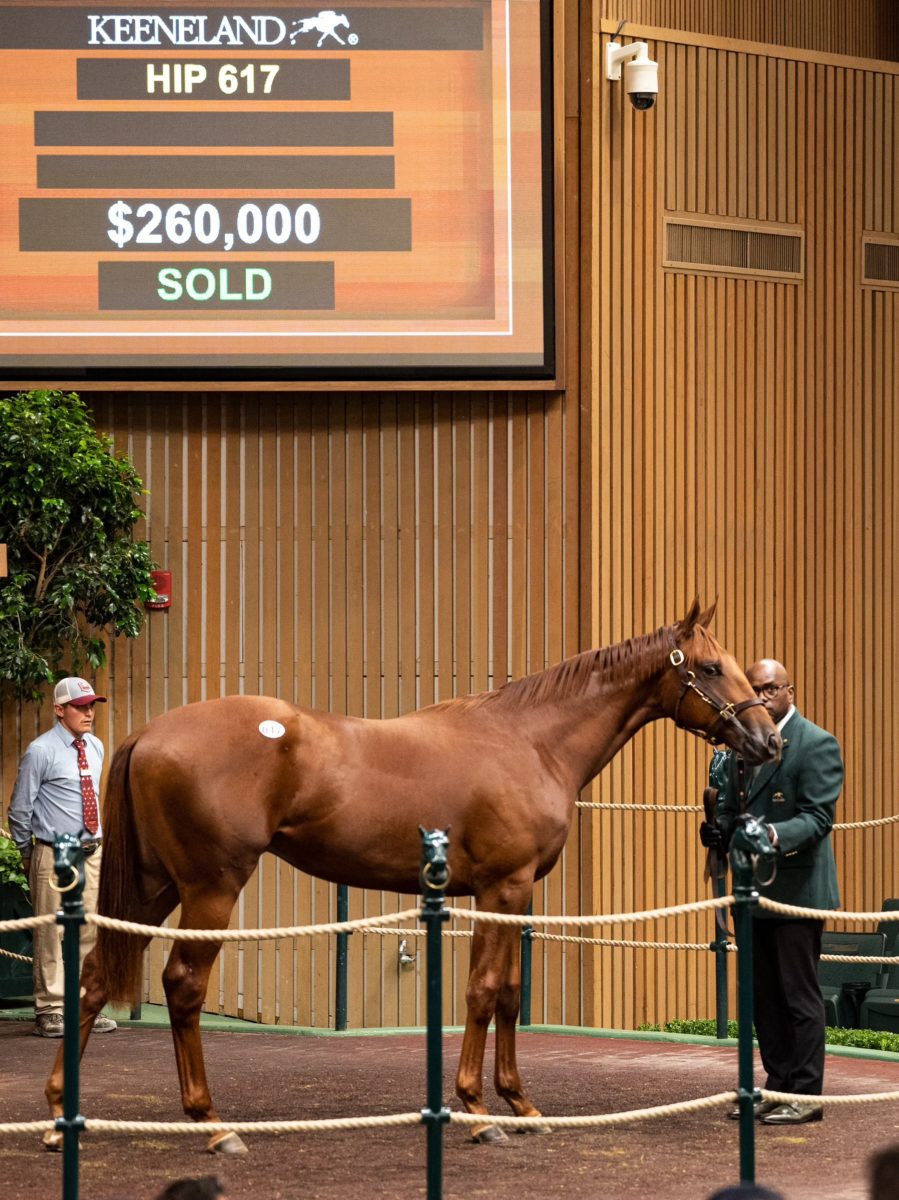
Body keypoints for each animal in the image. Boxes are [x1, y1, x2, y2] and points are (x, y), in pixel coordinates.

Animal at [45, 604, 777, 1147]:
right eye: (711, 667)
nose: (768, 740)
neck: (531, 740)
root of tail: (148, 734)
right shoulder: (502, 887)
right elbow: (482, 992)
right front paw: (477, 1112)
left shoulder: (515, 895)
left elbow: (510, 993)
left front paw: (520, 1103)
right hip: (210, 888)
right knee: (182, 985)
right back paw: (210, 1123)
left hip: (153, 887)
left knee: (94, 977)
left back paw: (59, 1116)